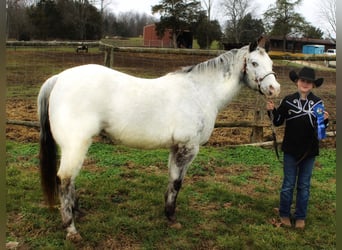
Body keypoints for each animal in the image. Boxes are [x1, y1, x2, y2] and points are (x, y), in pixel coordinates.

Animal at [37, 35, 280, 240]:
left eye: (271, 64)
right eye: (254, 63)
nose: (274, 89)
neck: (199, 92)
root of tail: (59, 78)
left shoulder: (175, 147)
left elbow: (172, 181)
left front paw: (168, 213)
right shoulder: (188, 147)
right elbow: (178, 182)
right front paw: (172, 217)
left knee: (69, 180)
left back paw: (78, 211)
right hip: (76, 144)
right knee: (64, 180)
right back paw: (71, 229)